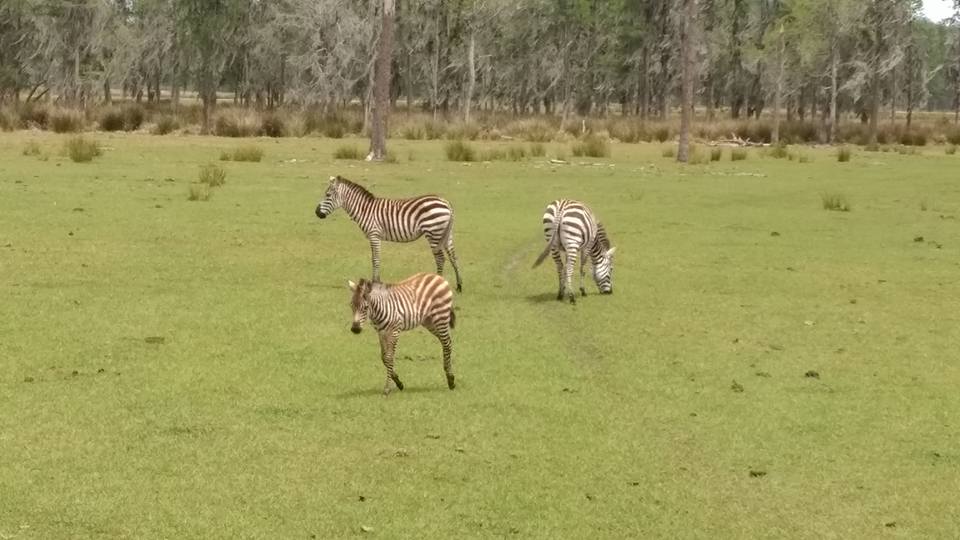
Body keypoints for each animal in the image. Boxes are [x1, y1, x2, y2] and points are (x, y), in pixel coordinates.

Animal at [316, 176, 463, 292]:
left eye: (328, 195)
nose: (317, 213)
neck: (365, 209)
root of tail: (446, 202)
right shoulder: (375, 236)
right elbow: (375, 258)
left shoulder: (374, 235)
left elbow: (375, 259)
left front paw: (375, 282)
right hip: (446, 234)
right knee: (453, 257)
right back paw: (459, 286)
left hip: (433, 232)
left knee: (440, 259)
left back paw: (438, 282)